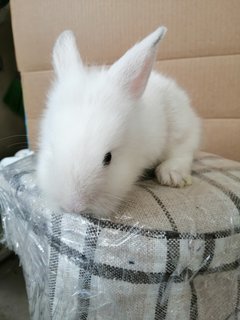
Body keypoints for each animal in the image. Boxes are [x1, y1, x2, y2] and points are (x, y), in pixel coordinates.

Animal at [37, 26, 201, 218]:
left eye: (108, 158)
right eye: (52, 151)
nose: (74, 207)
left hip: (180, 126)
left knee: (183, 150)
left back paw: (172, 175)